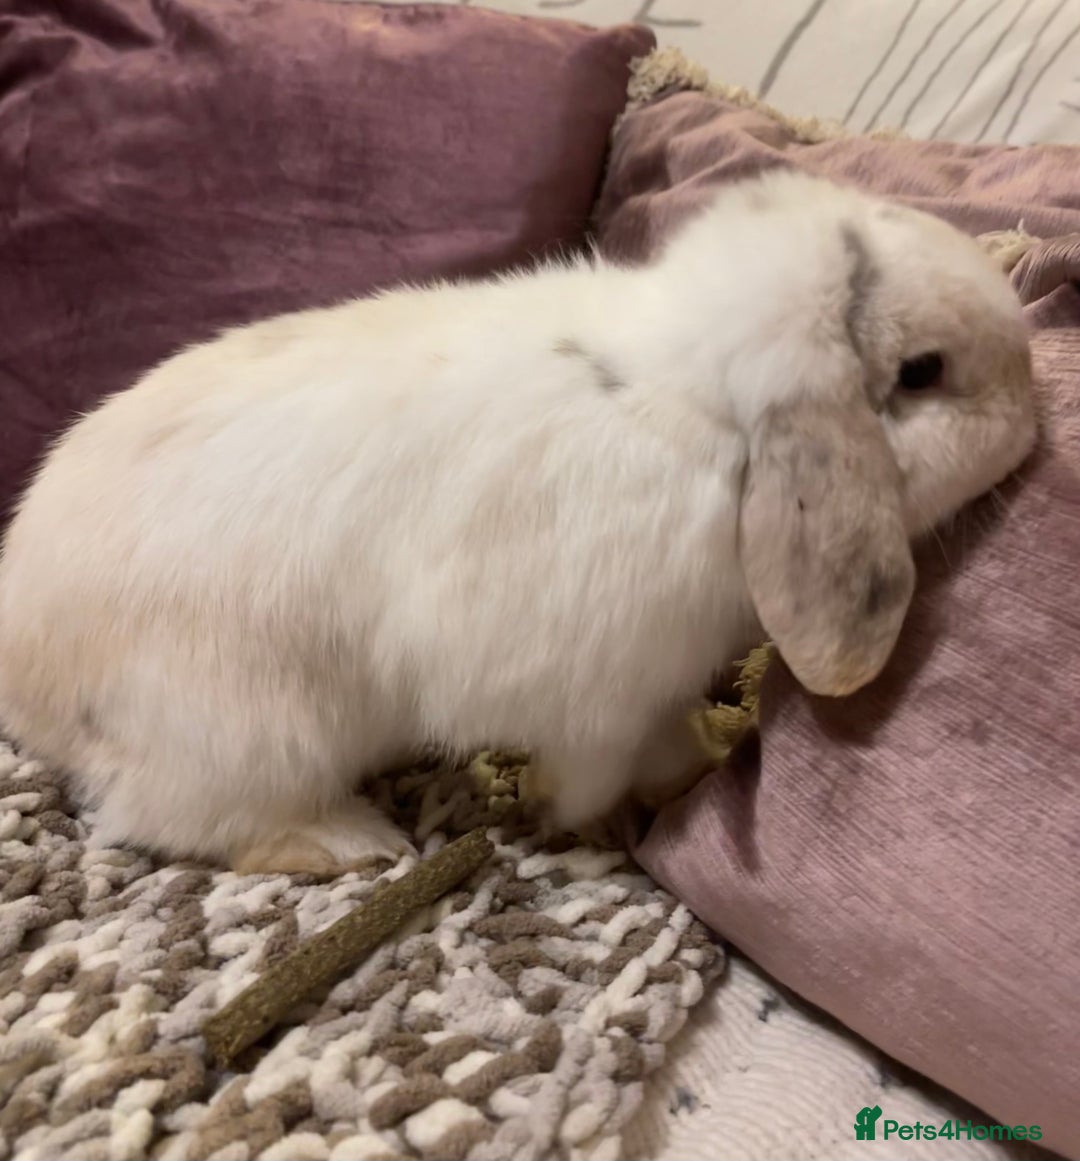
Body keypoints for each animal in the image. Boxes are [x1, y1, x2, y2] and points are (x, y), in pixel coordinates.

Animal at [0, 169, 1035, 875]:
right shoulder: (597, 693)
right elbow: (597, 769)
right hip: (250, 728)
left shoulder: (653, 685)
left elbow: (666, 737)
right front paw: (586, 818)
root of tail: (29, 683)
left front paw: (698, 761)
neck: (700, 412)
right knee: (167, 818)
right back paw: (350, 843)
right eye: (923, 372)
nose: (1033, 418)